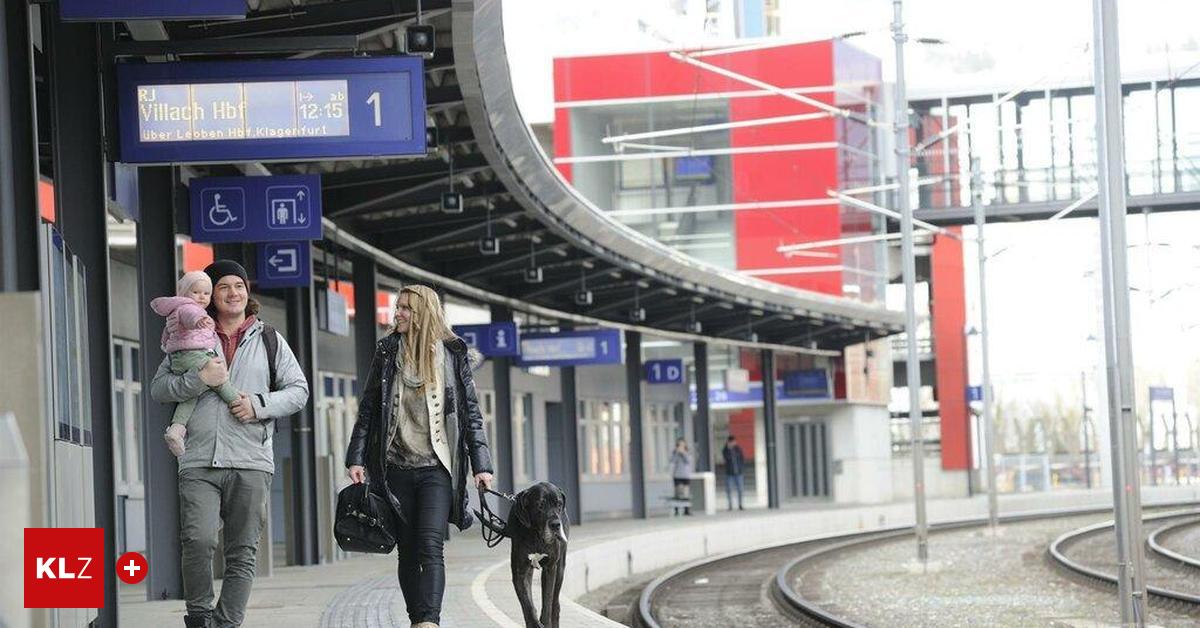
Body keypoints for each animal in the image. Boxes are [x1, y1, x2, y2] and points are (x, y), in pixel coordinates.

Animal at [507, 481, 569, 628]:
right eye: (540, 505)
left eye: (559, 504)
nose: (555, 525)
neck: (536, 535)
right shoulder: (520, 572)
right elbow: (527, 605)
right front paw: (535, 623)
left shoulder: (550, 568)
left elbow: (547, 602)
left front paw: (544, 622)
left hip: (560, 571)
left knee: (555, 604)